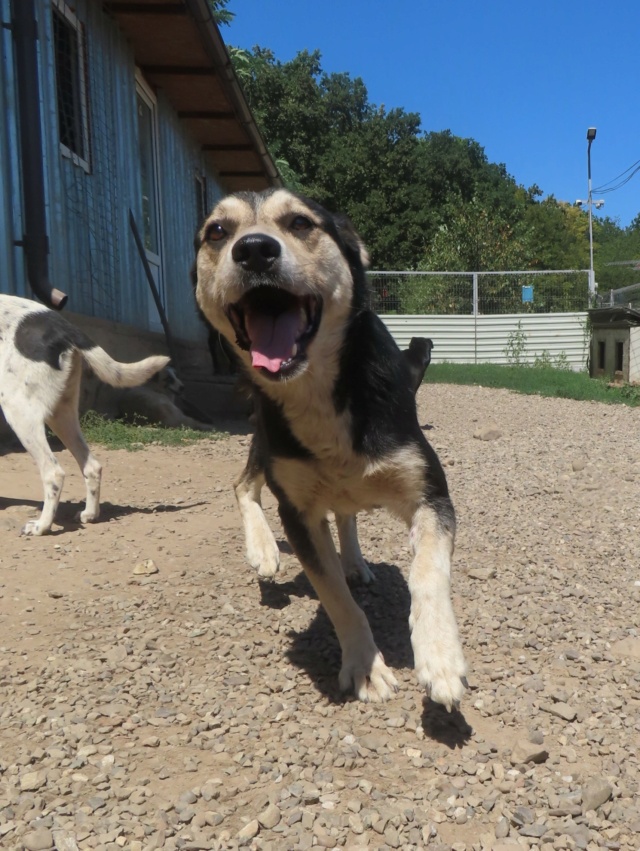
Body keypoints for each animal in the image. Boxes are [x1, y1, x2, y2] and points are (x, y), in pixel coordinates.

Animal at [195, 190, 464, 708]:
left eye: (300, 223)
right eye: (216, 231)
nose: (254, 250)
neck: (320, 391)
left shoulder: (430, 493)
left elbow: (427, 571)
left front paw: (439, 656)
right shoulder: (296, 512)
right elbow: (335, 595)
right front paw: (365, 666)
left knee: (346, 513)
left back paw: (355, 561)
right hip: (265, 437)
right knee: (244, 485)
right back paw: (263, 551)